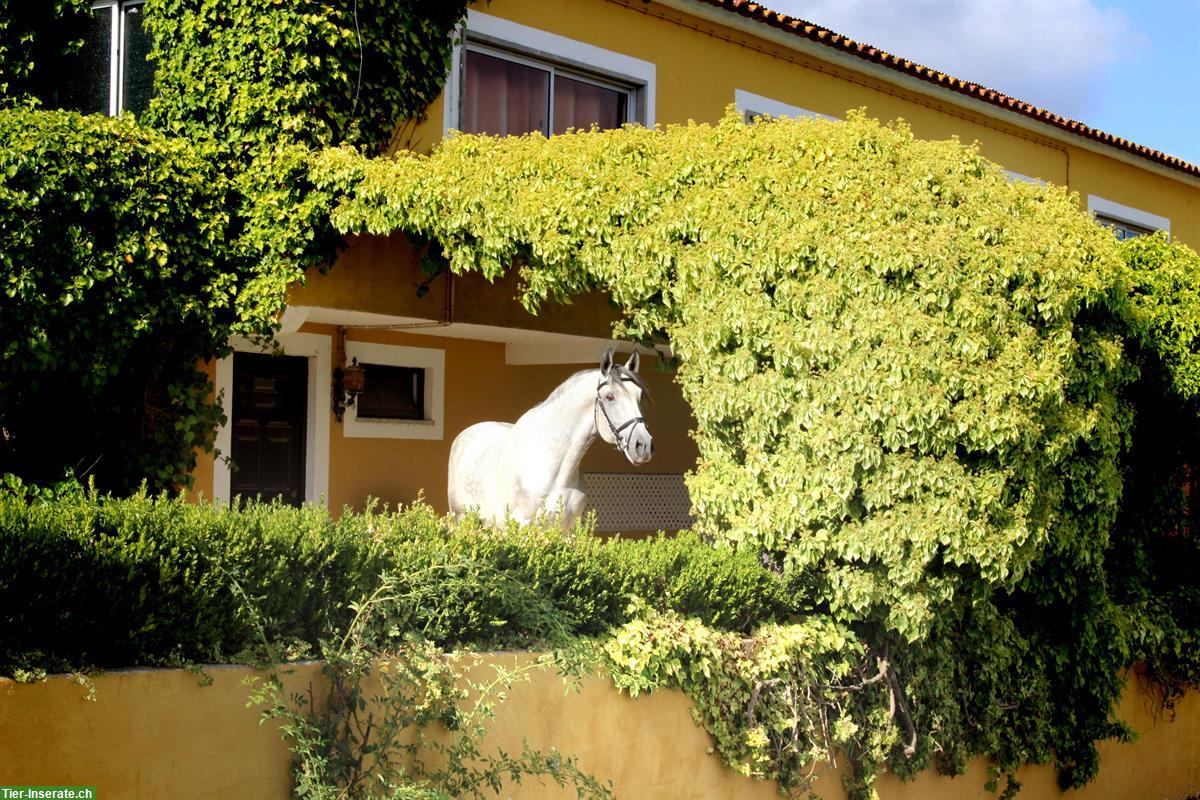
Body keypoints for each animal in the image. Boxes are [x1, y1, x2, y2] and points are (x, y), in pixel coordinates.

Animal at [451, 350, 657, 532]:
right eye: (610, 396)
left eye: (640, 396)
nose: (643, 445)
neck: (554, 468)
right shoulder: (522, 528)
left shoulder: (567, 530)